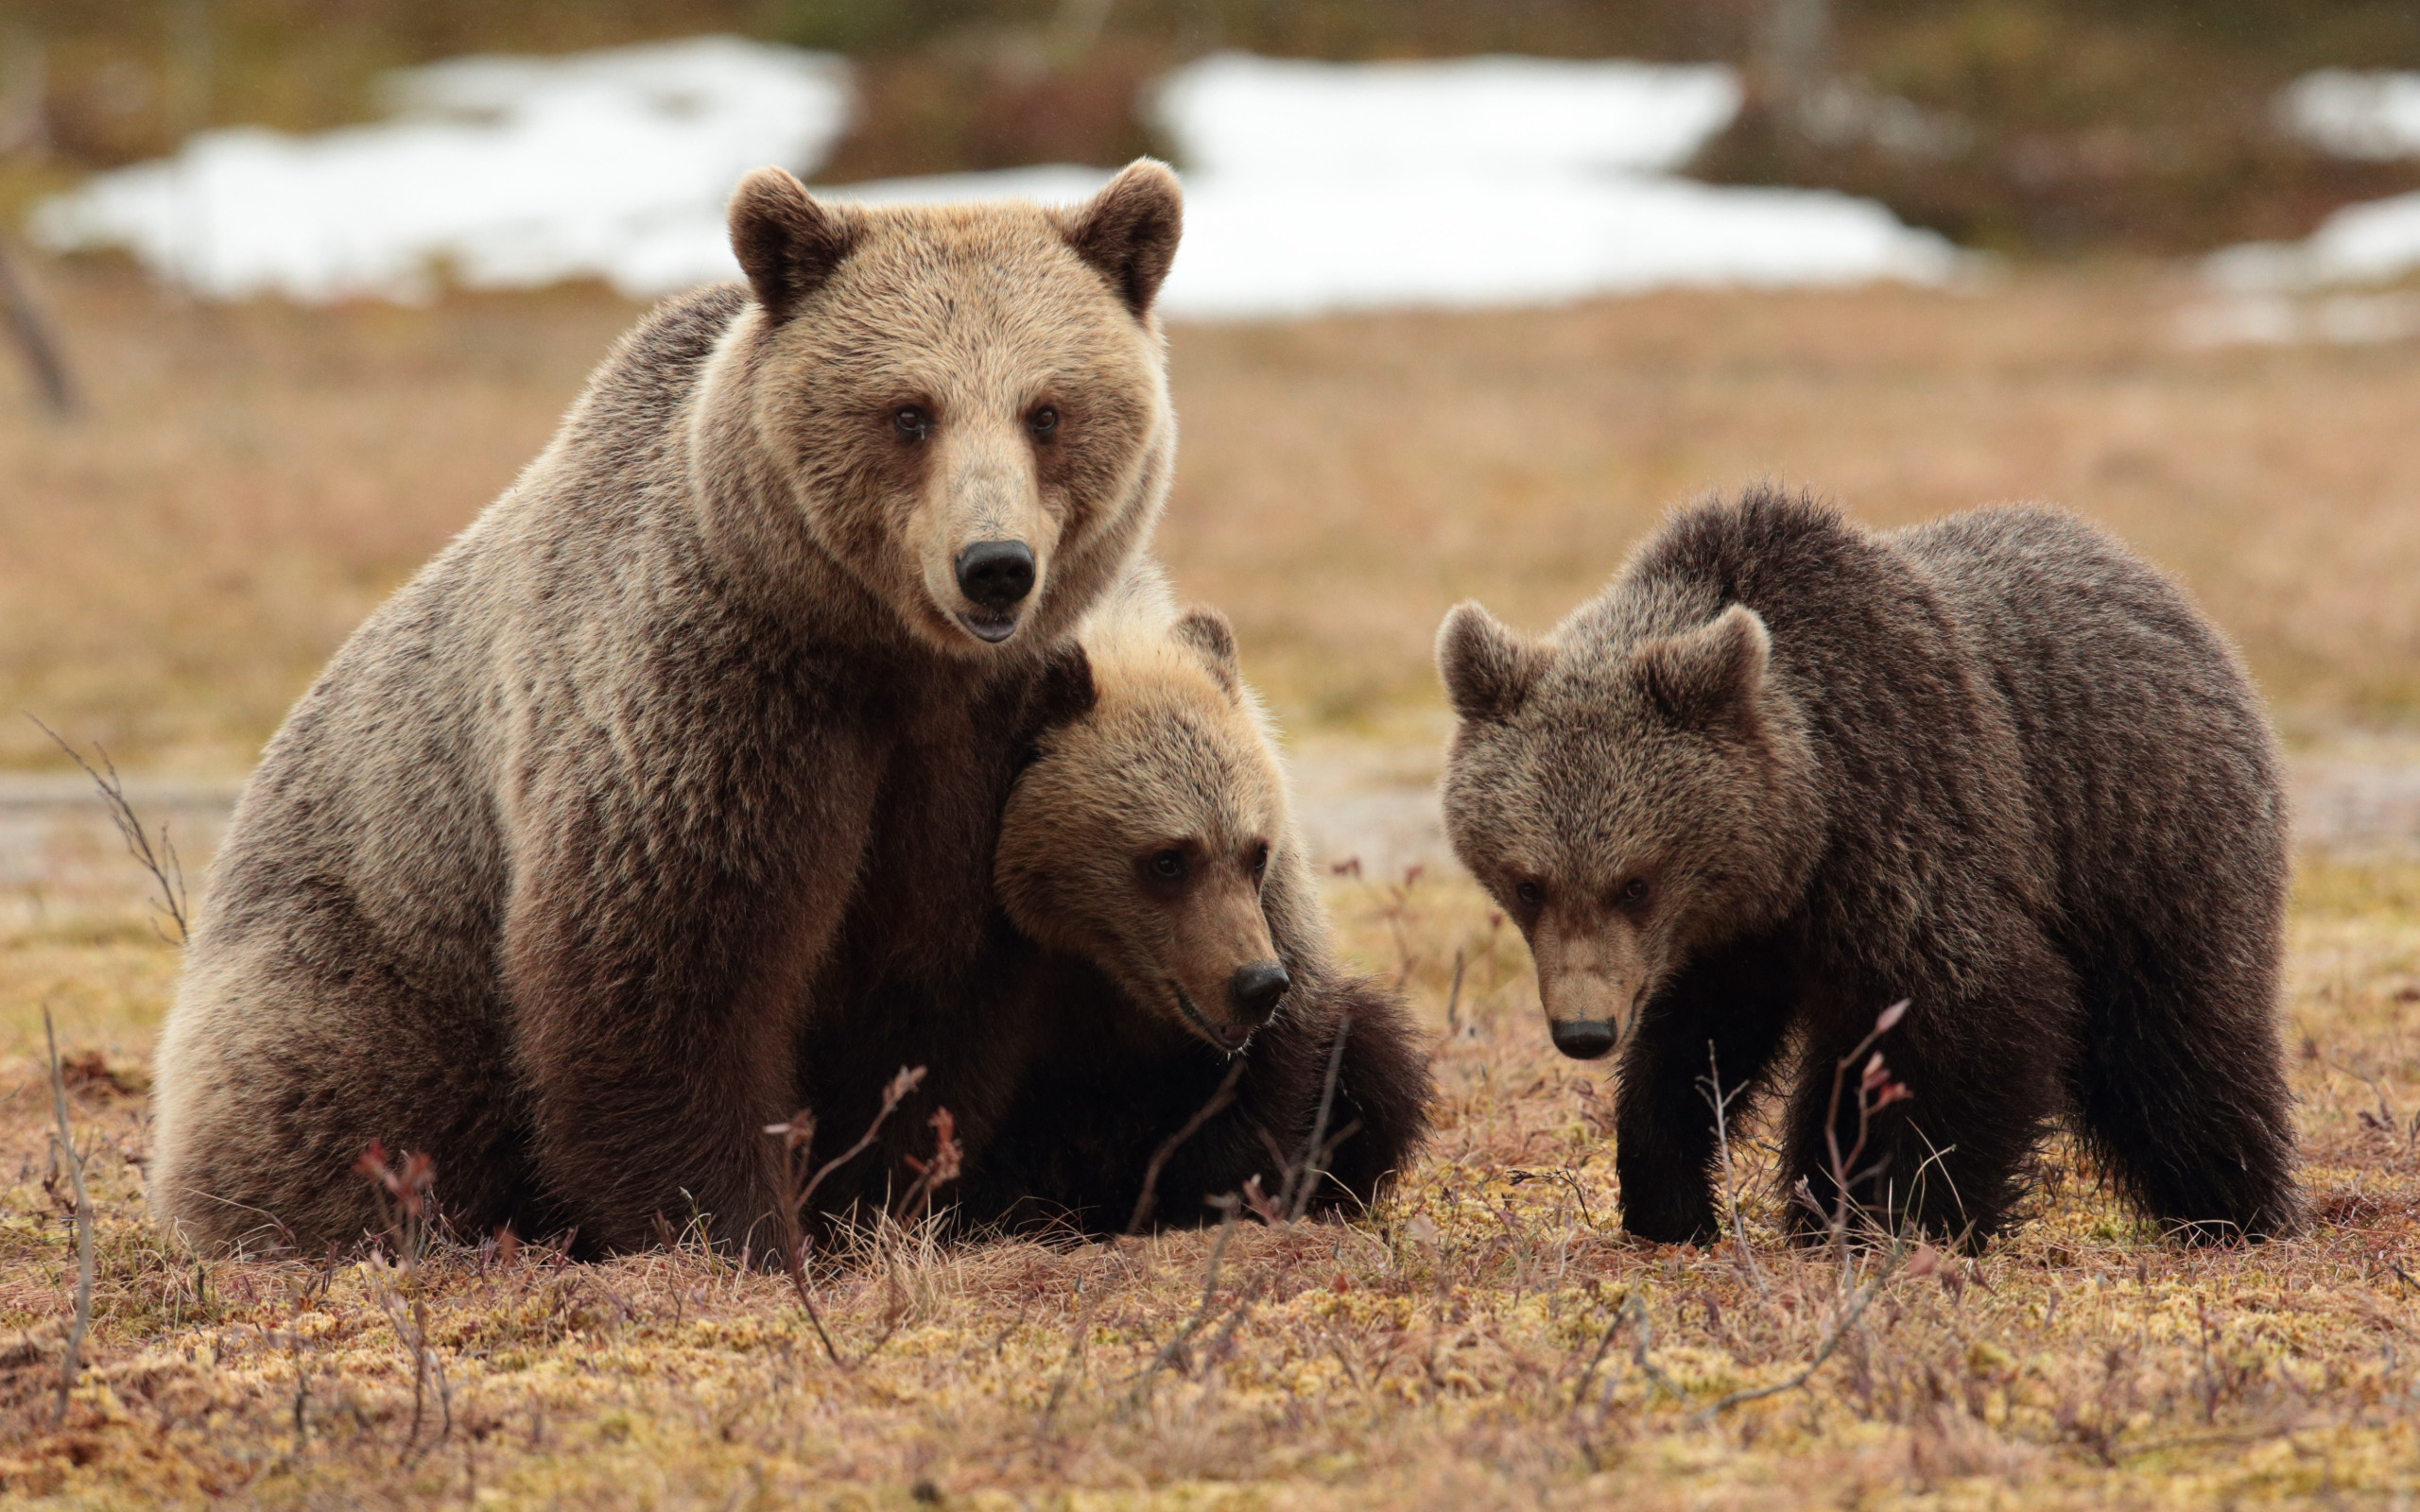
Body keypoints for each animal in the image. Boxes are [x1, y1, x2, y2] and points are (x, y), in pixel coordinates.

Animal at [146, 159, 1185, 1258]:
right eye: (909, 411)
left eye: (1048, 409)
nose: (993, 566)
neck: (881, 662)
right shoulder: (713, 709)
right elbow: (664, 978)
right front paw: (736, 1225)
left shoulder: (974, 759)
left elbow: (923, 1002)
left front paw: (876, 1203)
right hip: (364, 950)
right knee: (343, 1091)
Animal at [793, 582, 1432, 1233]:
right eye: (1168, 860)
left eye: (1256, 853)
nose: (1255, 983)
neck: (1091, 951)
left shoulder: (1271, 934)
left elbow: (1281, 1077)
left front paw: (1218, 1199)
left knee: (1379, 1060)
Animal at [1432, 489, 2304, 1247]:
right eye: (1529, 883)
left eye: (1634, 882)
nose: (1583, 1030)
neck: (1806, 826)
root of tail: (2166, 592)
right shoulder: (1738, 933)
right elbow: (1694, 1046)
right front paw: (1670, 1202)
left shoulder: (1908, 826)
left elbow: (1983, 1009)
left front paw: (1920, 1216)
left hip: (2143, 841)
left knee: (2178, 1045)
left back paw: (2232, 1206)